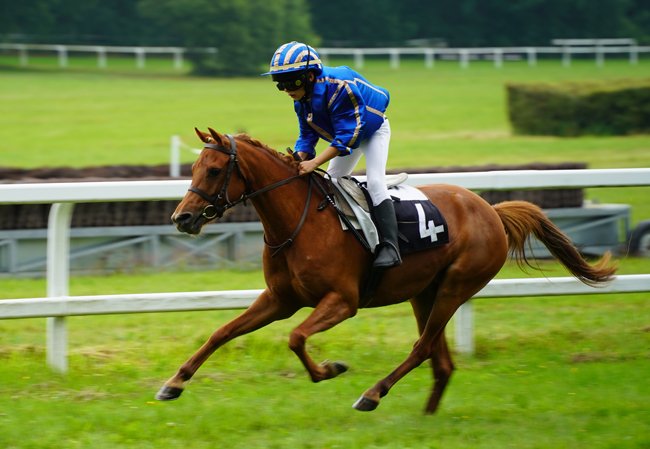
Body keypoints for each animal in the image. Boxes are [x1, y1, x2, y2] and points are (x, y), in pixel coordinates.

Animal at [156, 127, 612, 412]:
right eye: (193, 168)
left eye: (215, 170)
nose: (182, 218)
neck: (297, 223)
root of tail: (491, 211)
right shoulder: (280, 299)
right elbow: (222, 332)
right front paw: (174, 383)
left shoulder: (343, 301)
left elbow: (296, 337)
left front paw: (329, 369)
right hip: (424, 293)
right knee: (441, 361)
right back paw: (426, 415)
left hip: (456, 286)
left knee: (424, 348)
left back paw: (372, 394)